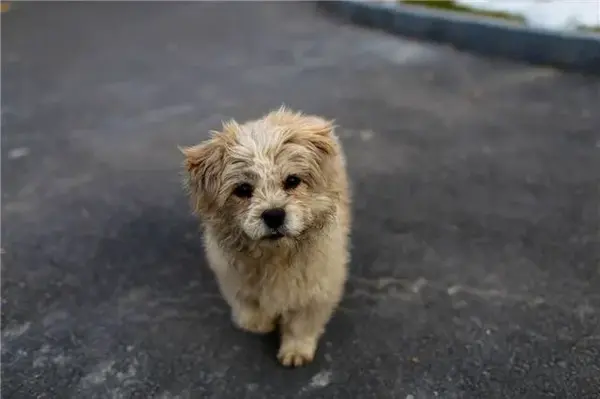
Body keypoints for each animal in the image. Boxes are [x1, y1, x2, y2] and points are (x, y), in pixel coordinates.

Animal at [179, 107, 352, 368]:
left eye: (292, 180)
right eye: (243, 189)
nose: (274, 215)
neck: (275, 257)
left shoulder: (316, 289)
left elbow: (301, 325)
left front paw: (295, 350)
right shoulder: (234, 279)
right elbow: (250, 309)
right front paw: (259, 323)